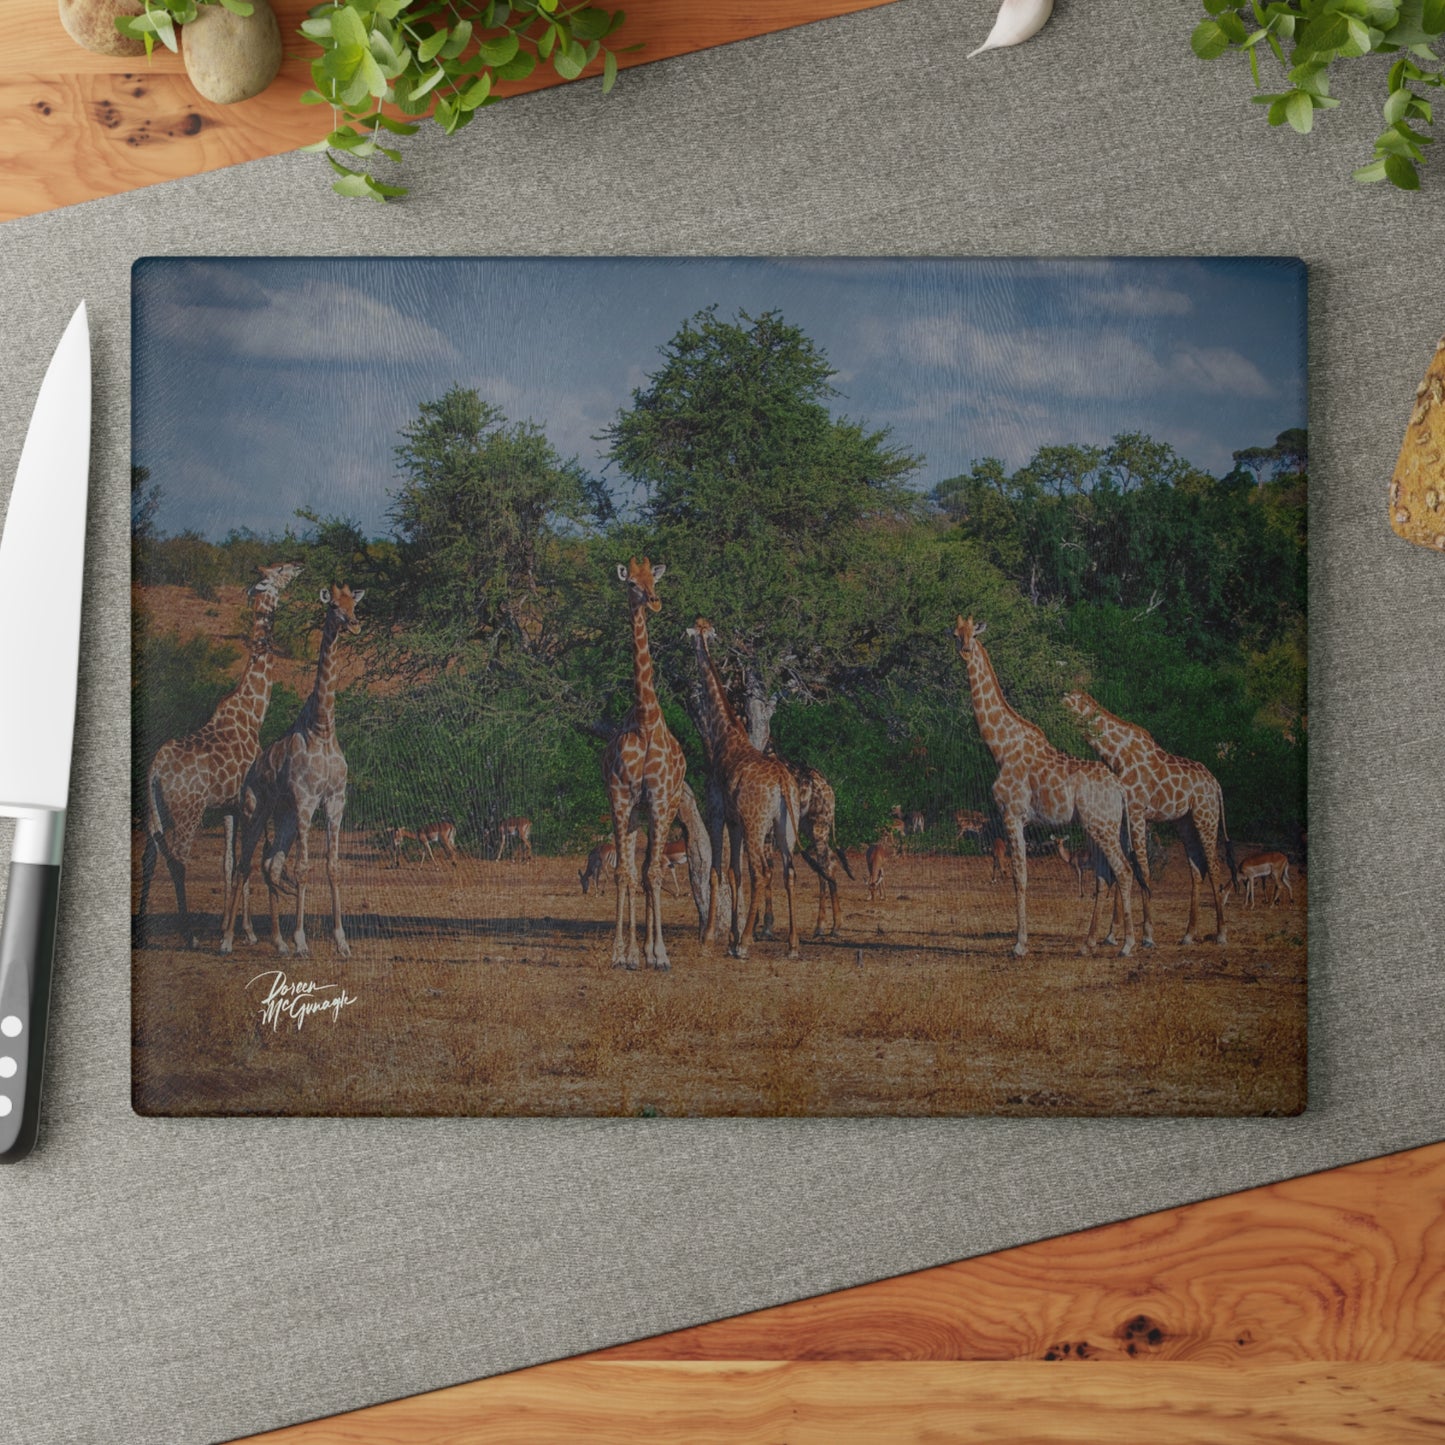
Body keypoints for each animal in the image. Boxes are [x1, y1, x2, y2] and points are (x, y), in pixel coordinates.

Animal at [135, 561, 302, 949]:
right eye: (280, 570)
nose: (300, 565)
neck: (253, 712)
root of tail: (154, 770)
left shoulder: (229, 806)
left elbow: (229, 863)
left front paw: (233, 928)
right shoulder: (254, 802)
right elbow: (250, 858)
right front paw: (251, 932)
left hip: (155, 811)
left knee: (149, 857)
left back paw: (142, 932)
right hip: (188, 810)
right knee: (178, 860)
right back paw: (189, 935)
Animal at [219, 583, 364, 958]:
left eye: (355, 604)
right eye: (334, 607)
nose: (355, 624)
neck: (322, 728)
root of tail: (250, 773)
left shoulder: (335, 800)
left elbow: (332, 867)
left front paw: (341, 941)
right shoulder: (306, 800)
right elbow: (302, 869)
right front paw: (302, 941)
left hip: (282, 816)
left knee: (271, 865)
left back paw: (278, 943)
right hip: (255, 811)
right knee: (244, 866)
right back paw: (227, 940)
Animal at [687, 617, 801, 960]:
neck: (721, 735)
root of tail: (782, 782)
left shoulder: (716, 812)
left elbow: (715, 871)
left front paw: (711, 938)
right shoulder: (735, 821)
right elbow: (733, 873)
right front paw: (731, 937)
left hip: (757, 823)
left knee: (761, 871)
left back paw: (748, 943)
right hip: (784, 826)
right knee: (789, 871)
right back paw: (792, 945)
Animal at [953, 617, 1142, 957]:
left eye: (974, 633)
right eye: (954, 634)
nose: (965, 650)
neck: (1001, 747)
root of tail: (1120, 789)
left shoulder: (1012, 814)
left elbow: (1020, 876)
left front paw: (1019, 944)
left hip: (1103, 826)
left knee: (1123, 871)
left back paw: (1127, 945)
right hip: (1102, 827)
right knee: (1105, 875)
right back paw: (1088, 943)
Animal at [1062, 691, 1238, 947]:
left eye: (1066, 702)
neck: (1116, 753)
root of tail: (1216, 784)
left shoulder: (1136, 811)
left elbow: (1142, 869)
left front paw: (1147, 935)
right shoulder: (1125, 816)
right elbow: (1124, 867)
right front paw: (1112, 935)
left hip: (1206, 815)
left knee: (1214, 866)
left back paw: (1222, 933)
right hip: (1185, 821)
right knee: (1197, 867)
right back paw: (1188, 934)